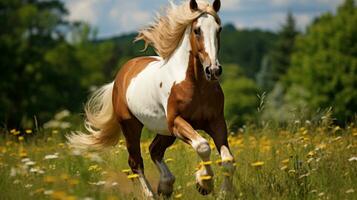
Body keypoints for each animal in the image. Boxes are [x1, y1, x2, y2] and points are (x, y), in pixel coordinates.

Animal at [67, 0, 235, 197]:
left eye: (219, 29)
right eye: (197, 30)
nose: (213, 70)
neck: (195, 85)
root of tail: (121, 75)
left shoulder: (216, 122)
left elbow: (228, 160)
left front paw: (221, 191)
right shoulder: (177, 122)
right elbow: (202, 146)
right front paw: (204, 183)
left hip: (165, 131)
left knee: (154, 150)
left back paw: (166, 185)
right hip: (131, 126)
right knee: (136, 161)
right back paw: (150, 194)